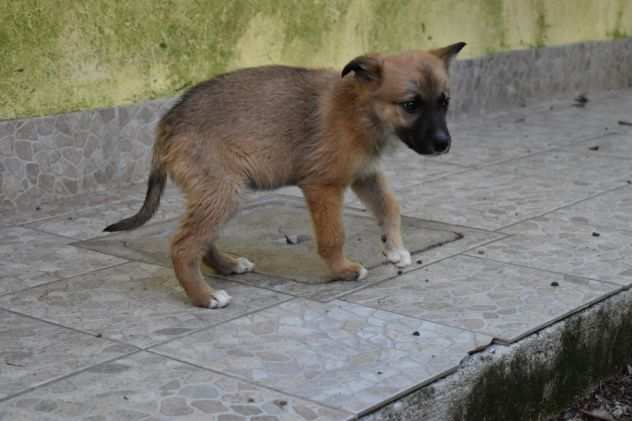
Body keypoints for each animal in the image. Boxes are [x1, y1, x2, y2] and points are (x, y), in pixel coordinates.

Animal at [106, 42, 466, 308]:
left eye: (444, 102)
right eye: (410, 105)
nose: (444, 145)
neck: (360, 110)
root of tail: (168, 123)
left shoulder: (365, 175)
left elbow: (390, 208)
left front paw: (395, 249)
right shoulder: (324, 186)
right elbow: (333, 236)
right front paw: (343, 270)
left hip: (218, 193)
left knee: (201, 241)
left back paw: (228, 266)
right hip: (223, 191)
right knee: (183, 246)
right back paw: (205, 297)